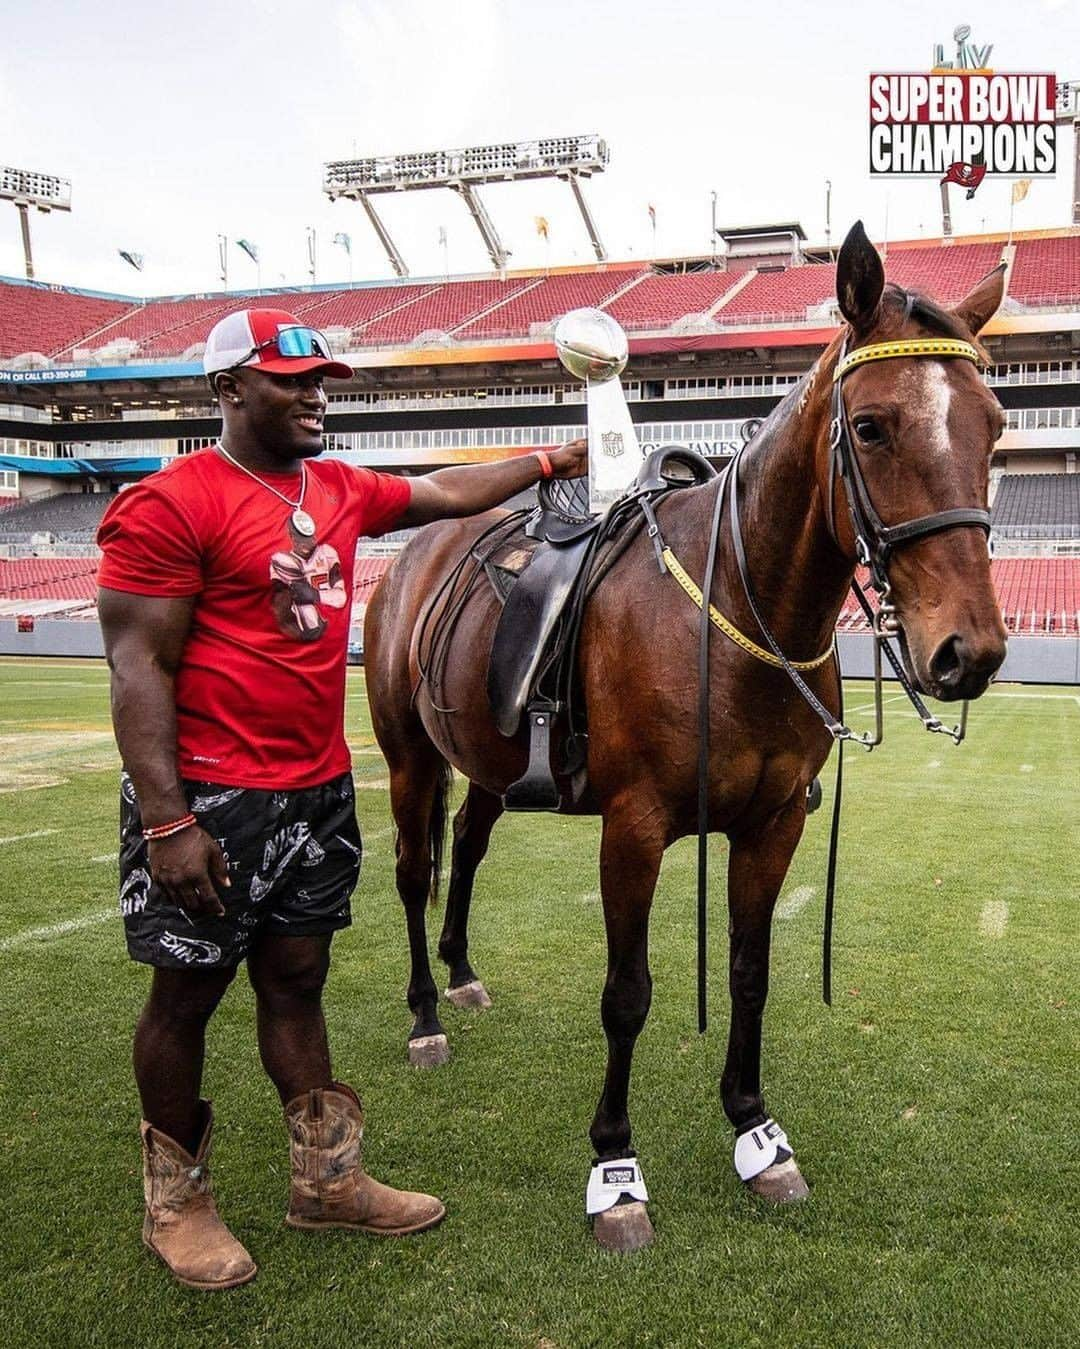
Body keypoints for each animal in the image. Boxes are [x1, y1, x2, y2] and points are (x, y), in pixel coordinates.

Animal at [364, 223, 1013, 1251]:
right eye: (872, 426)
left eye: (994, 425)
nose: (970, 650)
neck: (738, 609)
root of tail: (415, 548)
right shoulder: (631, 830)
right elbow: (627, 993)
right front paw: (615, 1169)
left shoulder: (773, 822)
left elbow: (749, 972)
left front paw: (756, 1131)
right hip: (407, 758)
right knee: (406, 871)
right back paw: (427, 1012)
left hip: (495, 767)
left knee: (463, 847)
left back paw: (462, 969)